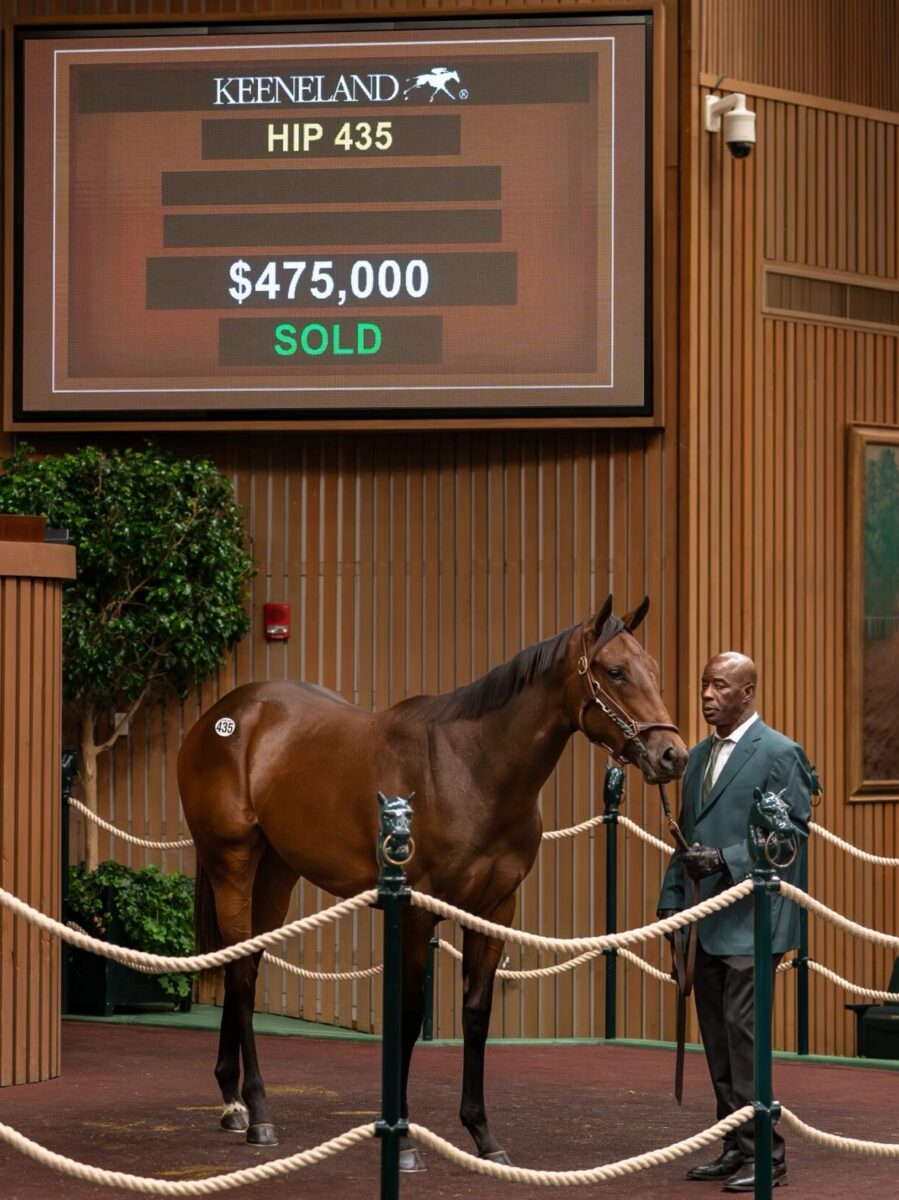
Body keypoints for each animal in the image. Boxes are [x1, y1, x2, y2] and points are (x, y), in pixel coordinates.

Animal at [180, 595, 686, 1166]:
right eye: (614, 671)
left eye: (654, 671)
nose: (673, 756)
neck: (471, 768)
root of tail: (223, 717)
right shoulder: (418, 911)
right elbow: (408, 1011)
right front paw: (402, 1142)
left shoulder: (495, 910)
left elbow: (476, 1013)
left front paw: (483, 1135)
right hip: (233, 864)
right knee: (241, 976)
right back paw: (258, 1113)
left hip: (275, 875)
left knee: (244, 965)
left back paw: (234, 1101)